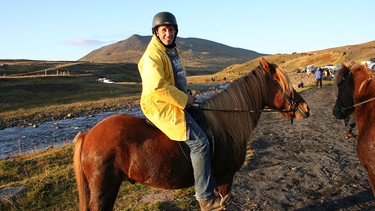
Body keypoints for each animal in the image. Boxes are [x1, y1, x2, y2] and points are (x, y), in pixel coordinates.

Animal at [73, 58, 312, 211]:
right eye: (283, 83)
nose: (305, 107)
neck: (226, 124)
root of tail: (88, 134)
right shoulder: (225, 179)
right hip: (103, 191)